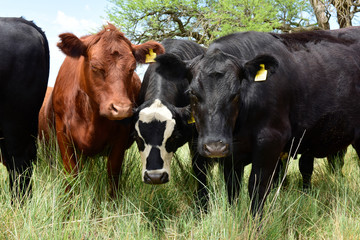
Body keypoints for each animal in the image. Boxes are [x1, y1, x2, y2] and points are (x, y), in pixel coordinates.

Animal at [38, 23, 165, 194]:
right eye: (95, 66)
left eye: (132, 68)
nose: (121, 109)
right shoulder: (63, 135)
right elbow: (71, 174)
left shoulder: (120, 138)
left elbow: (113, 173)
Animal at [176, 28, 360, 216]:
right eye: (192, 92)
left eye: (236, 93)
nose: (215, 147)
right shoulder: (232, 153)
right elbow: (232, 189)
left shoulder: (270, 140)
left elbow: (257, 187)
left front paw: (255, 223)